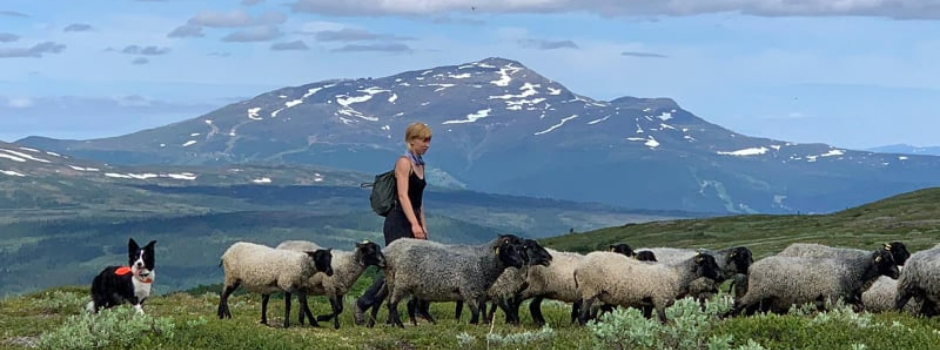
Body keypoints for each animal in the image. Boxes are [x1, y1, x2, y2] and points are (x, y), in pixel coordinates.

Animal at [382, 234, 528, 326]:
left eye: (520, 249)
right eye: (508, 249)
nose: (521, 262)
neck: (482, 263)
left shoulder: (476, 293)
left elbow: (477, 311)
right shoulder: (467, 291)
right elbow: (475, 312)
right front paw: (472, 324)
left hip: (416, 288)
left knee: (412, 306)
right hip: (402, 283)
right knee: (392, 304)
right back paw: (399, 324)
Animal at [572, 252, 720, 322]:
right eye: (709, 262)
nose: (720, 274)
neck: (676, 275)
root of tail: (578, 268)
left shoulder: (649, 304)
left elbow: (647, 320)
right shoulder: (659, 300)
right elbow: (663, 321)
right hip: (590, 290)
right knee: (582, 317)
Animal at [732, 249, 900, 314]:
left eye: (893, 257)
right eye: (885, 260)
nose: (897, 273)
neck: (848, 271)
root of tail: (752, 267)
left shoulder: (846, 296)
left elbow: (860, 307)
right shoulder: (832, 296)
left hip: (767, 295)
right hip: (757, 290)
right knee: (739, 303)